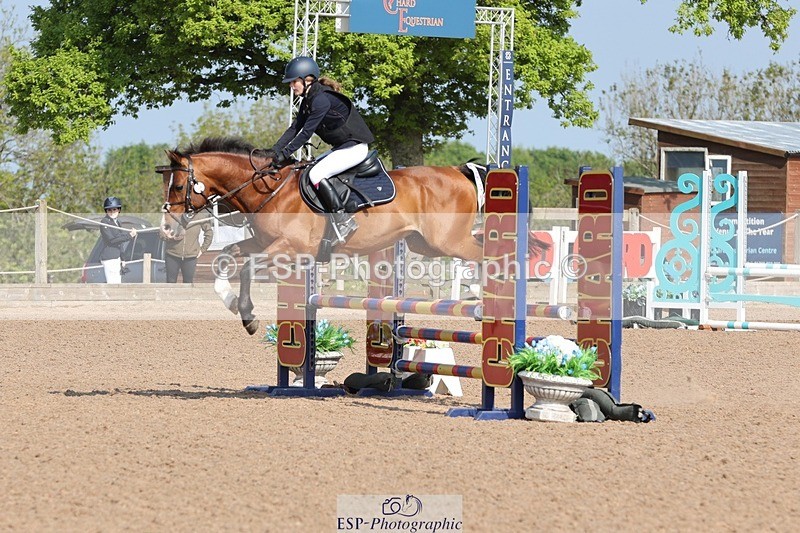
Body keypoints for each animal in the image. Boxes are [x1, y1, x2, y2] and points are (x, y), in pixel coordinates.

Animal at [160, 137, 546, 335]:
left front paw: (248, 317)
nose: (167, 229)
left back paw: (489, 304)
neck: (269, 189)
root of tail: (458, 170)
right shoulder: (261, 242)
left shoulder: (291, 249)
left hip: (446, 241)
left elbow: (246, 268)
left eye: (178, 186)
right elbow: (227, 258)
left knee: (488, 255)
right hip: (425, 244)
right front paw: (229, 302)